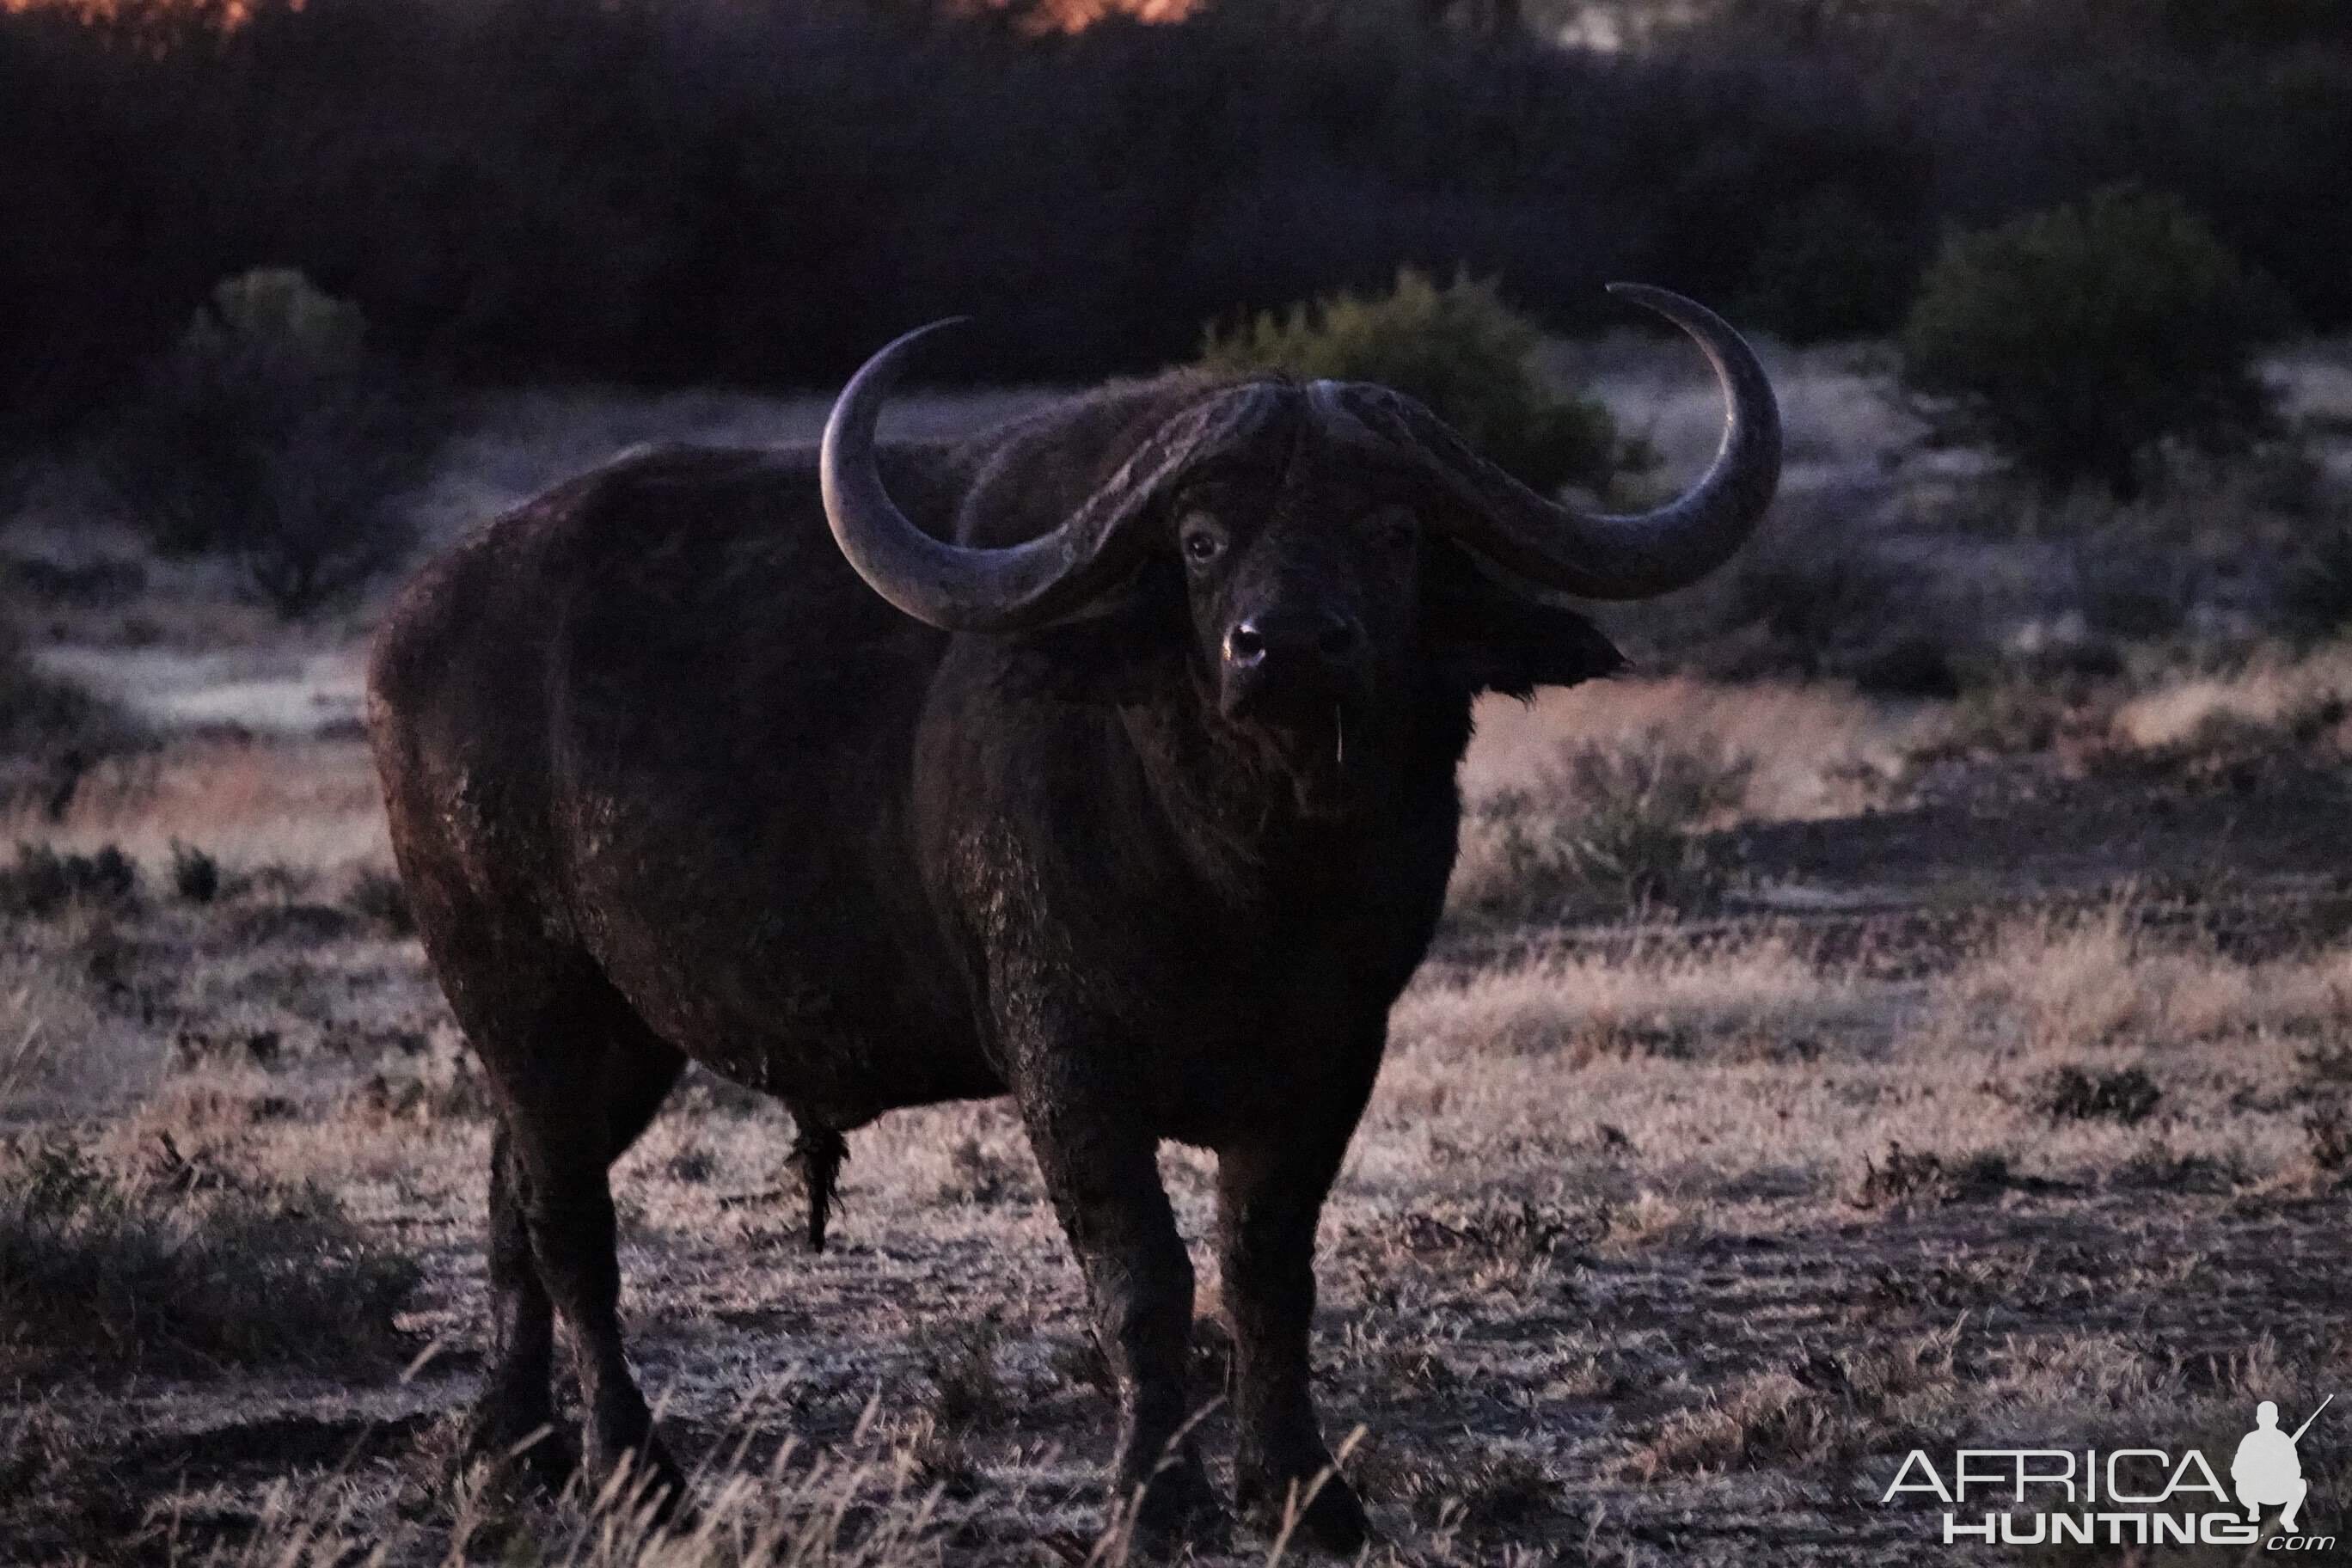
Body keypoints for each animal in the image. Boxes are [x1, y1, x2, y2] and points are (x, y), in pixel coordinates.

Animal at [362, 287, 1778, 1551]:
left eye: (1394, 531)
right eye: (1200, 539)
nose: (1285, 647)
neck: (1251, 883)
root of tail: (412, 627)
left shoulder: (1332, 1062)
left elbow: (1268, 1272)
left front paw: (1304, 1495)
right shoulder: (1068, 1065)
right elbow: (1146, 1281)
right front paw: (1154, 1504)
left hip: (619, 1036)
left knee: (512, 1192)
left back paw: (512, 1447)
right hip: (522, 991)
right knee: (570, 1226)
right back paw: (636, 1475)